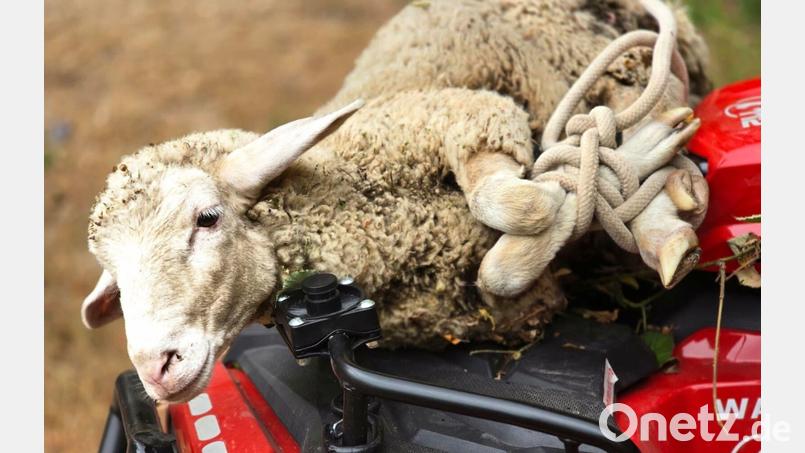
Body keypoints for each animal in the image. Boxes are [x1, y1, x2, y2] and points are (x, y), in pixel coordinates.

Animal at [82, 0, 710, 402]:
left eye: (207, 219)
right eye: (114, 274)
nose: (156, 370)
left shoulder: (469, 115)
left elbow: (514, 205)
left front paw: (596, 167)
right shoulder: (508, 305)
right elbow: (503, 269)